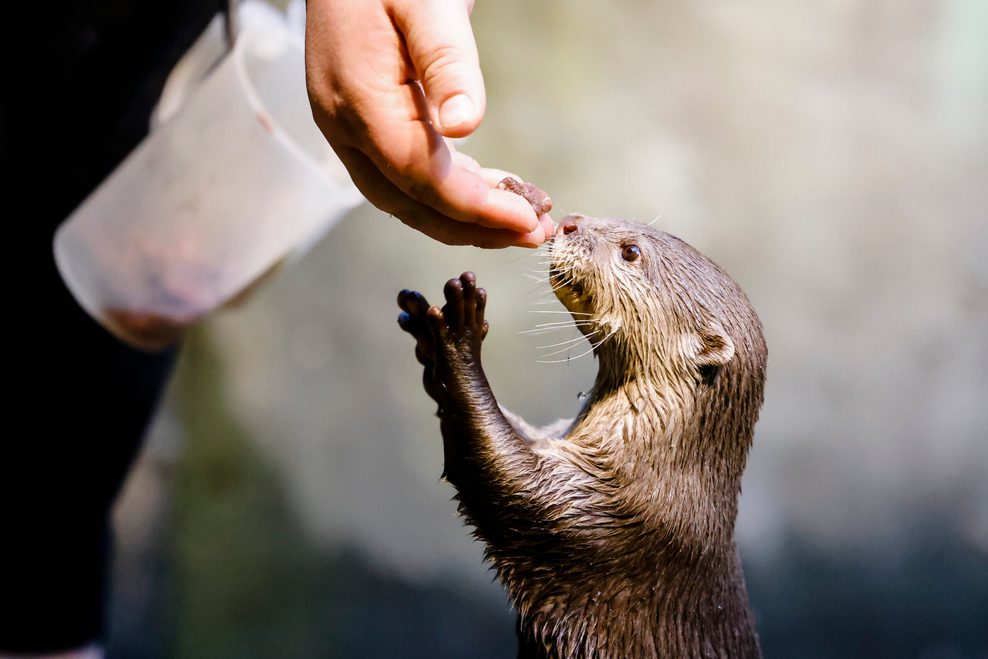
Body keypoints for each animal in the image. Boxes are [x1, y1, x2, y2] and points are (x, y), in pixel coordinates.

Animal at [397, 214, 767, 659]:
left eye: (631, 251)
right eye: (628, 219)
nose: (572, 222)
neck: (661, 462)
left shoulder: (604, 515)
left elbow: (507, 484)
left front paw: (459, 339)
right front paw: (426, 338)